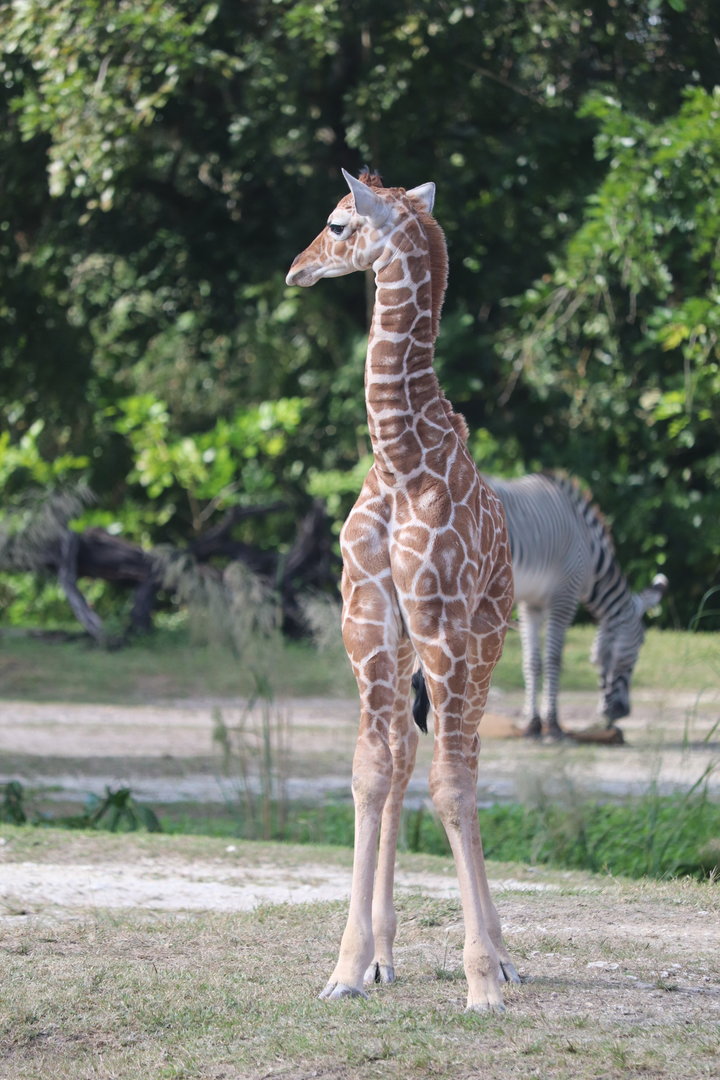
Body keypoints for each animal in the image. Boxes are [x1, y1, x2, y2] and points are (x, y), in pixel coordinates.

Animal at [286, 169, 518, 1012]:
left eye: (336, 223)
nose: (297, 268)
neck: (399, 458)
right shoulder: (367, 622)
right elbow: (370, 775)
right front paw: (348, 966)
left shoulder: (442, 623)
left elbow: (452, 787)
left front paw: (482, 980)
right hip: (413, 653)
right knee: (405, 756)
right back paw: (386, 956)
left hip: (484, 640)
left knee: (467, 762)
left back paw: (504, 957)